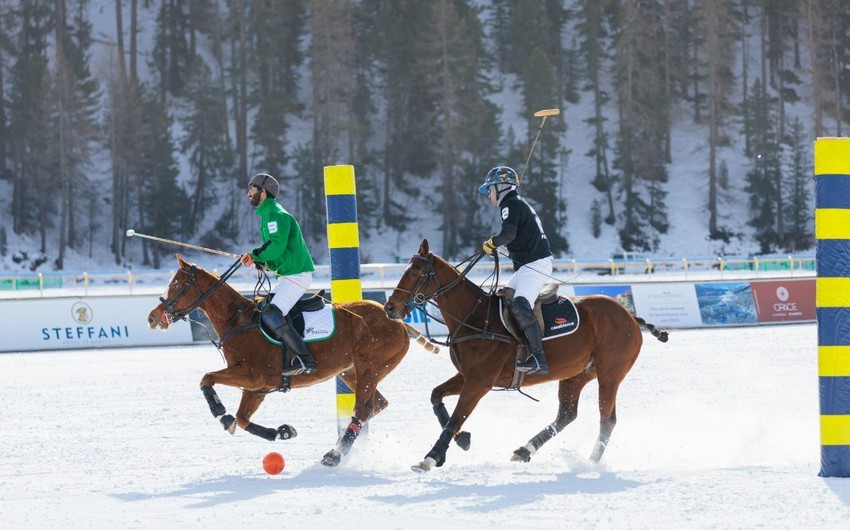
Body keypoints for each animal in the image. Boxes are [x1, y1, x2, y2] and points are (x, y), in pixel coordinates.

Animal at [147, 254, 412, 464]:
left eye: (176, 284)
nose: (152, 317)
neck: (238, 321)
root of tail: (398, 321)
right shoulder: (257, 388)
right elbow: (242, 419)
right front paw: (282, 432)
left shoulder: (252, 376)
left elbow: (206, 378)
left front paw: (220, 411)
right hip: (350, 371)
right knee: (378, 404)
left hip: (370, 368)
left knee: (365, 407)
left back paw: (334, 455)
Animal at [384, 239, 668, 470]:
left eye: (415, 271)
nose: (390, 308)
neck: (474, 317)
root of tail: (629, 315)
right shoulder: (467, 375)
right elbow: (437, 397)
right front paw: (462, 440)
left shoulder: (479, 381)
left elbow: (456, 417)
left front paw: (431, 458)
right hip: (577, 374)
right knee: (567, 414)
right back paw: (524, 450)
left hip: (610, 372)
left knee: (607, 419)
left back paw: (591, 462)